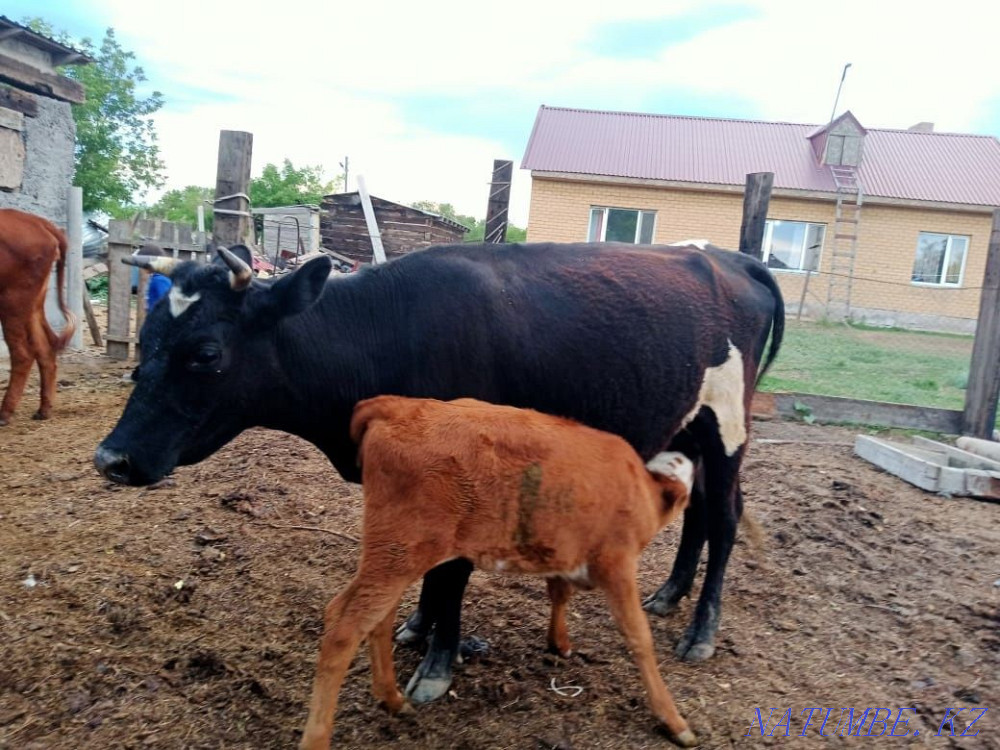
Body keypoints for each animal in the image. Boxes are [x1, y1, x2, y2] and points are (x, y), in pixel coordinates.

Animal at [0, 208, 77, 425]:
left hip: (12, 300)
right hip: (32, 303)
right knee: (44, 347)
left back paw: (4, 413)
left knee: (23, 354)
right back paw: (44, 410)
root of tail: (37, 221)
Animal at [94, 240, 783, 704]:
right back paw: (667, 595)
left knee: (724, 517)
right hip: (687, 428)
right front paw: (417, 629)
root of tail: (728, 258)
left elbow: (450, 570)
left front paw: (436, 666)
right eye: (148, 338)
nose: (111, 458)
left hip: (727, 424)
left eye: (206, 353)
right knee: (699, 511)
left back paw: (701, 630)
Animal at [300, 394, 697, 749]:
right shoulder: (617, 564)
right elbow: (639, 638)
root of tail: (394, 405)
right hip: (398, 555)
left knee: (369, 619)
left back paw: (392, 698)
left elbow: (559, 592)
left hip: (394, 556)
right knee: (344, 630)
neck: (641, 487)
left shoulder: (562, 550)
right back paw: (318, 738)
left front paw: (559, 642)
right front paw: (673, 720)